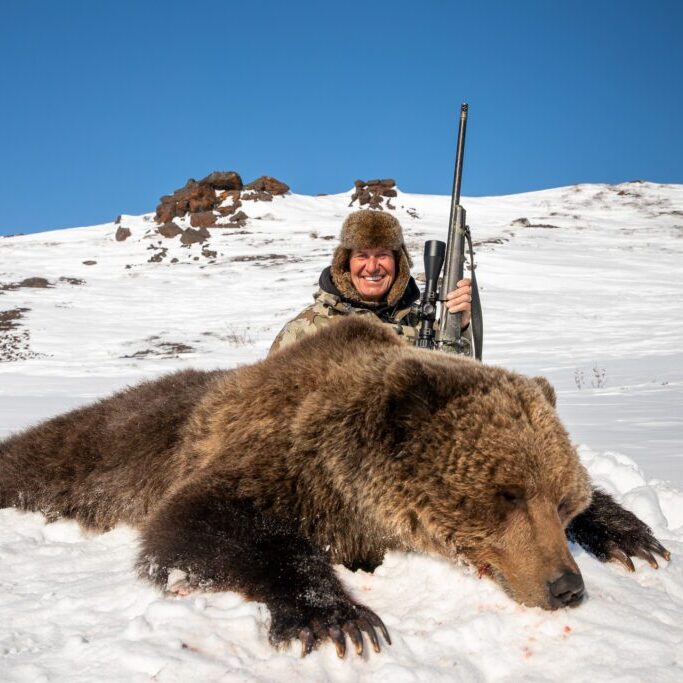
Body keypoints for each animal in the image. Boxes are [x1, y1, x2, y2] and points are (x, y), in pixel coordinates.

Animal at [0, 316, 670, 659]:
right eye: (505, 493)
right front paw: (340, 617)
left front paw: (632, 535)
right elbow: (194, 527)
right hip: (103, 446)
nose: (566, 586)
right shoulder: (278, 461)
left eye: (562, 500)